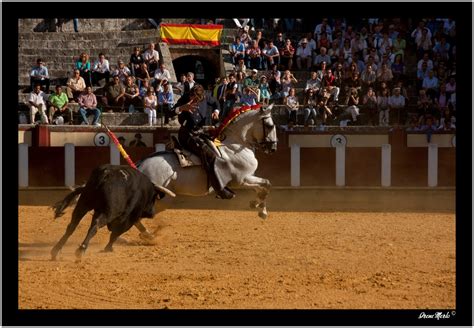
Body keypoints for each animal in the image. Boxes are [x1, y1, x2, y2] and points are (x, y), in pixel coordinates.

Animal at [133, 105, 278, 236]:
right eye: (270, 126)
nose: (273, 148)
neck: (235, 145)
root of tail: (141, 165)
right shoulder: (241, 180)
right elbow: (265, 185)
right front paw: (261, 210)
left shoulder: (247, 178)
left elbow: (264, 185)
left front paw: (257, 205)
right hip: (163, 200)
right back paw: (147, 235)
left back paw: (146, 234)